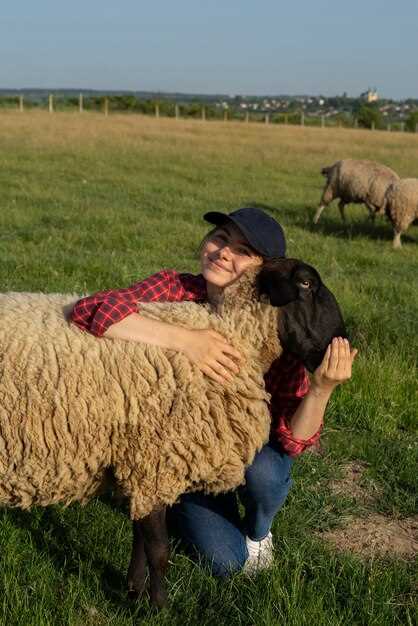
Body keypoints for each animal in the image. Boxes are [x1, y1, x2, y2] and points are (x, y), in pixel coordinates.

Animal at [0, 258, 346, 604]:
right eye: (305, 284)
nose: (343, 341)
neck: (232, 337)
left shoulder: (145, 467)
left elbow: (141, 539)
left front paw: (134, 592)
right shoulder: (153, 463)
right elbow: (159, 550)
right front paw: (159, 606)